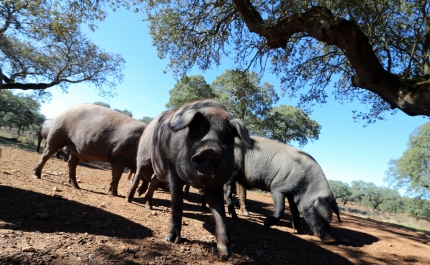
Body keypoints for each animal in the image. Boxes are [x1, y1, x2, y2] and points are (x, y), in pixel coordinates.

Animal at [125, 98, 252, 258]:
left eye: (228, 135)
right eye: (196, 130)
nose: (210, 151)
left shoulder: (215, 184)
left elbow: (220, 213)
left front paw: (225, 253)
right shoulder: (173, 170)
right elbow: (177, 204)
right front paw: (172, 239)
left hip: (158, 168)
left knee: (153, 179)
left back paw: (149, 206)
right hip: (143, 154)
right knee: (138, 174)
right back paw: (129, 199)